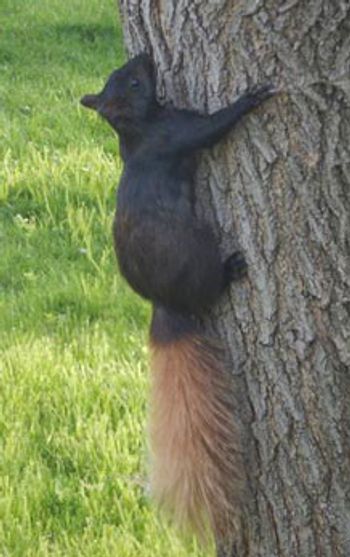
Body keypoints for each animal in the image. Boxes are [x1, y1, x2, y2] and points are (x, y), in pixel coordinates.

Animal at [80, 54, 274, 540]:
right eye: (133, 81)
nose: (145, 56)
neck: (138, 130)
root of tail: (166, 305)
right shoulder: (178, 133)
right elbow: (213, 127)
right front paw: (250, 98)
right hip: (200, 252)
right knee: (211, 287)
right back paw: (232, 269)